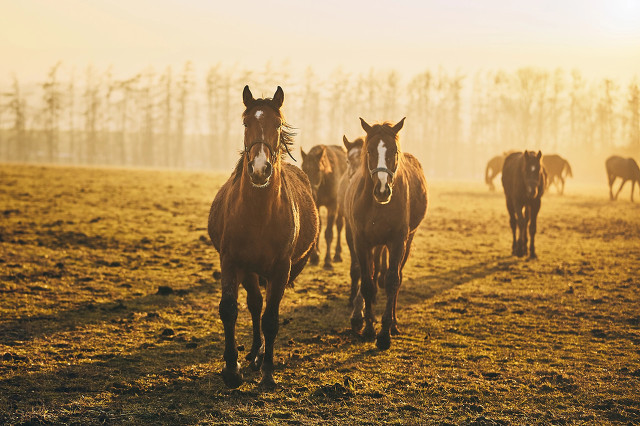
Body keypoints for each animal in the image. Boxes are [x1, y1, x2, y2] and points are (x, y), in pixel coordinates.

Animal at [209, 86, 318, 390]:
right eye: (246, 123)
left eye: (278, 124)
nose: (260, 169)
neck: (258, 213)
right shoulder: (231, 261)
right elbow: (230, 309)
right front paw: (231, 369)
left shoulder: (281, 268)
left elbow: (271, 319)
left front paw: (268, 373)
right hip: (249, 270)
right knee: (255, 304)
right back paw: (254, 353)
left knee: (263, 307)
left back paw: (260, 357)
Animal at [342, 117, 428, 350]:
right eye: (370, 150)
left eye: (394, 151)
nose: (382, 190)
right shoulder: (361, 241)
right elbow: (367, 281)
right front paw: (368, 328)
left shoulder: (397, 241)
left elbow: (392, 281)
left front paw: (384, 333)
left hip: (407, 241)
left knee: (397, 276)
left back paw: (394, 323)